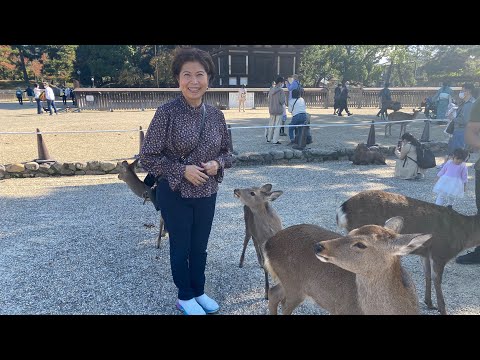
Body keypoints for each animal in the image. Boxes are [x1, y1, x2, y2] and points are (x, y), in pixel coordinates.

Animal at [262, 217, 432, 316]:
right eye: (351, 231)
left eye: (361, 244)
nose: (318, 246)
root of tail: (268, 244)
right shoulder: (341, 310)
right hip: (294, 286)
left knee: (274, 292)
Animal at [336, 188, 480, 316]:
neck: (464, 236)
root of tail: (342, 211)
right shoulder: (440, 253)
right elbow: (437, 280)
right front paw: (442, 310)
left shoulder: (425, 253)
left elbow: (427, 275)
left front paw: (429, 303)